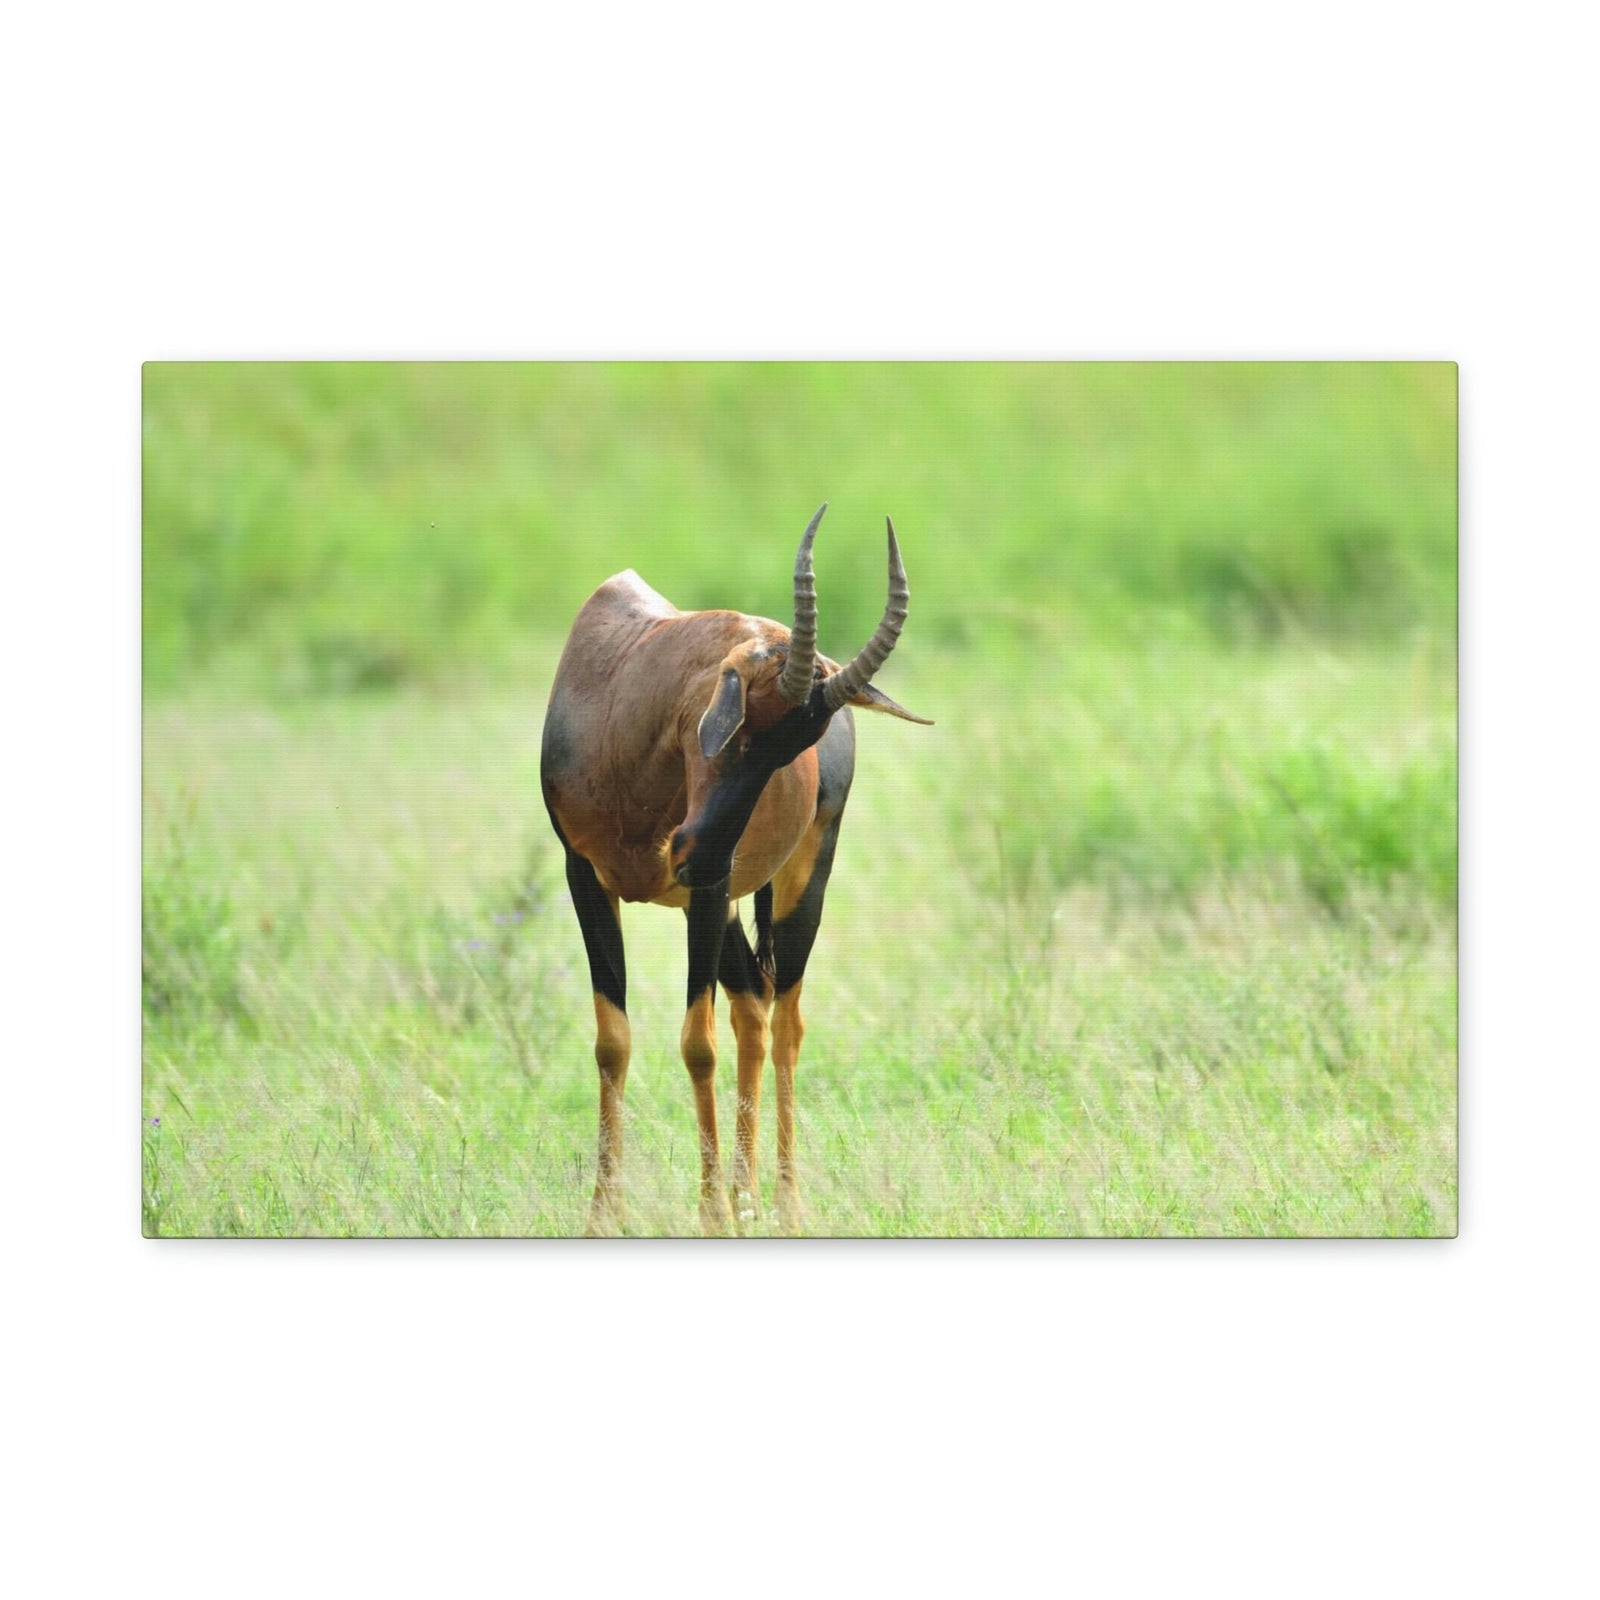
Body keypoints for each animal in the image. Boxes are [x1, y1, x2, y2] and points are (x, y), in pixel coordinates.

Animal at [541, 505, 928, 1235]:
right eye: (743, 722)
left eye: (796, 748)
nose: (689, 849)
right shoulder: (586, 877)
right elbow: (613, 1039)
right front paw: (605, 1216)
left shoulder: (710, 889)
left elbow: (698, 1044)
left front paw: (710, 1215)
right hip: (720, 905)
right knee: (752, 1004)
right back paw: (747, 1199)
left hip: (793, 882)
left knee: (786, 1019)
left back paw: (783, 1204)